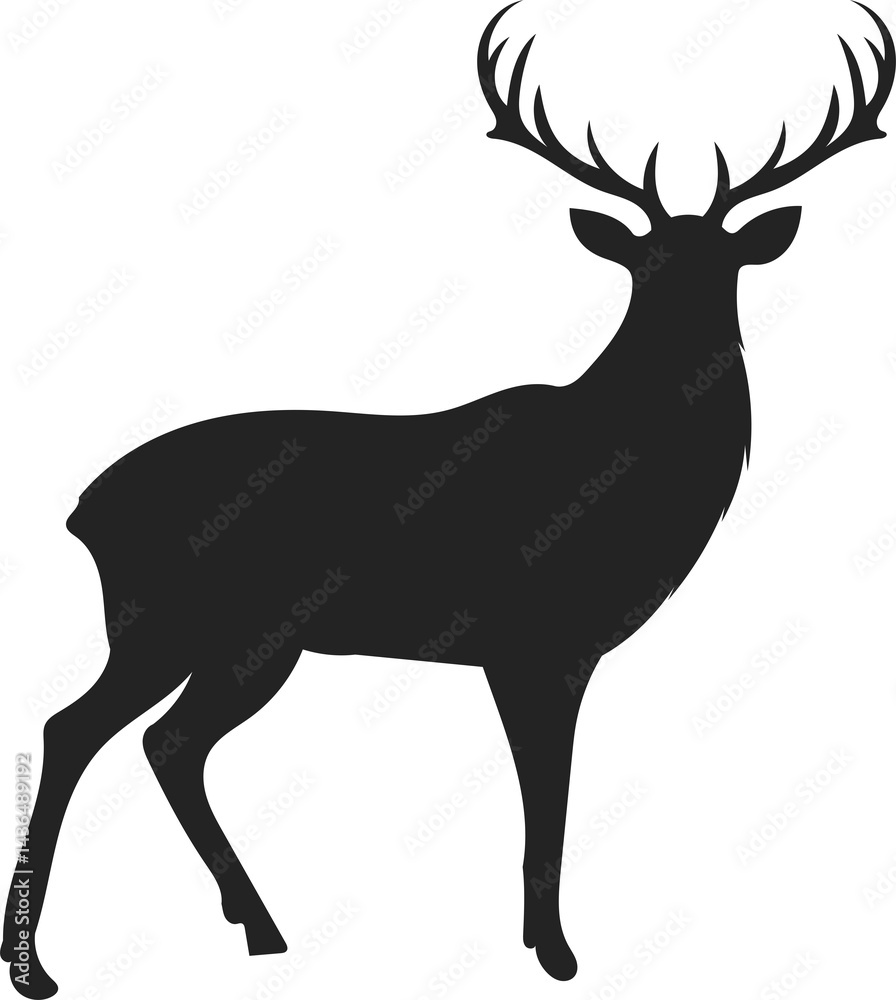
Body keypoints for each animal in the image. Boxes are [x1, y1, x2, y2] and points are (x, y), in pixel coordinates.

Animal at [3, 2, 894, 996]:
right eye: (646, 263)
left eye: (726, 262)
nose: (697, 339)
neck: (634, 479)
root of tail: (82, 511)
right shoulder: (538, 640)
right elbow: (547, 798)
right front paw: (558, 953)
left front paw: (540, 944)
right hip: (174, 621)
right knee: (78, 727)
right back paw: (40, 966)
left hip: (246, 641)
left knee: (167, 744)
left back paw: (257, 928)